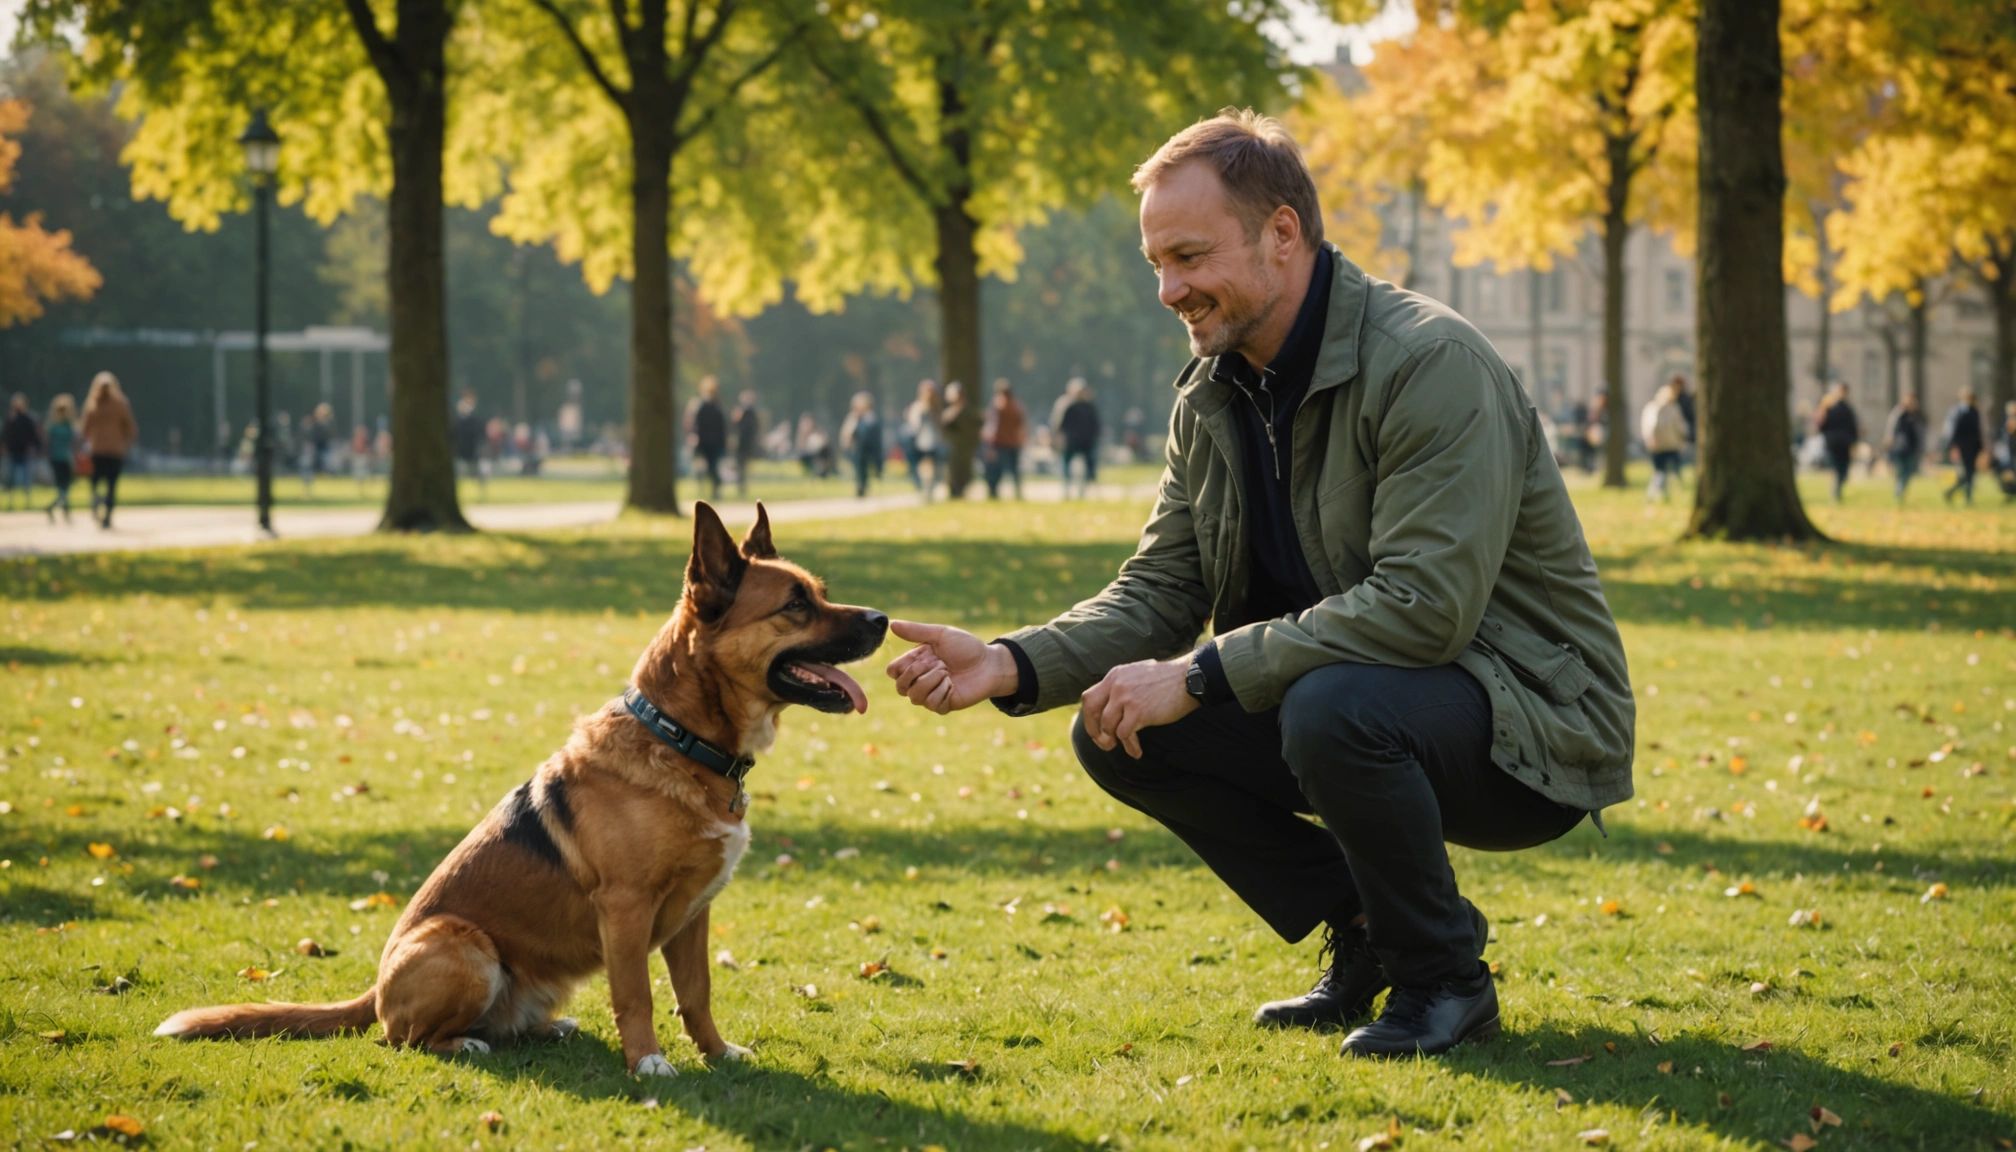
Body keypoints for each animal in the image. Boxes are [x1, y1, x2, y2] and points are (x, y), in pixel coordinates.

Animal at [157, 504, 883, 1081]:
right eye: (795, 605)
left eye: (821, 592)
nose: (881, 617)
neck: (681, 741)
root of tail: (374, 990)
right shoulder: (626, 909)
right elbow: (638, 996)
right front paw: (647, 1062)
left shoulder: (693, 914)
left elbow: (696, 994)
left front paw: (718, 1053)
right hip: (464, 948)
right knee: (402, 1039)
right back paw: (463, 1045)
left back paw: (541, 1028)